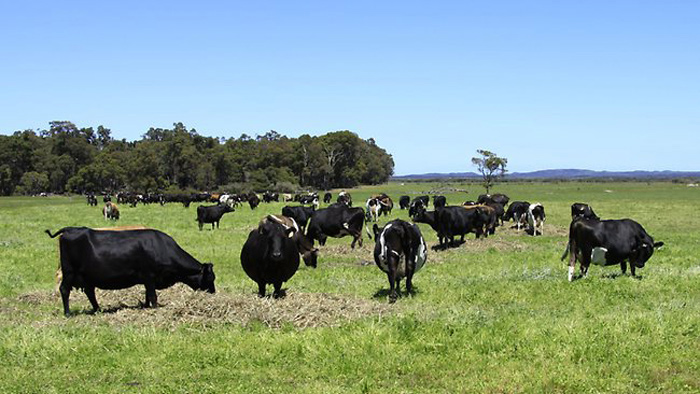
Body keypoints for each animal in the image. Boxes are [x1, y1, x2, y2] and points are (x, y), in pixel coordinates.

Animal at [45, 226, 215, 316]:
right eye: (210, 278)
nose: (213, 293)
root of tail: (69, 229)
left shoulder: (148, 279)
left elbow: (147, 294)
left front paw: (146, 307)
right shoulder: (150, 276)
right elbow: (153, 295)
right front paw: (154, 309)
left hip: (86, 277)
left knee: (89, 292)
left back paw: (98, 309)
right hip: (69, 272)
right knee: (64, 289)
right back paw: (68, 313)